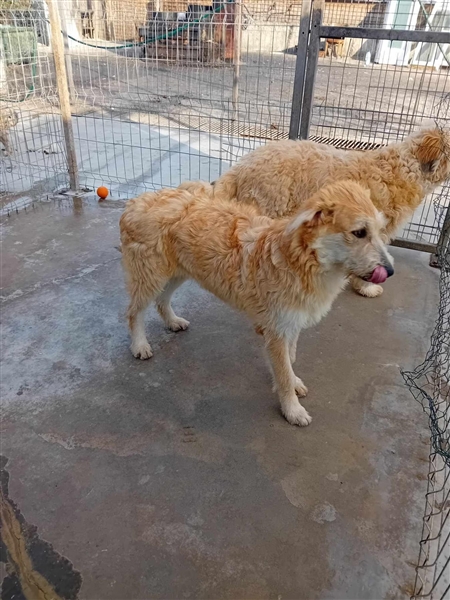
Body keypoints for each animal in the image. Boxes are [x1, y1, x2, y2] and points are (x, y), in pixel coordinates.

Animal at [120, 180, 394, 426]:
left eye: (379, 230)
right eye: (359, 232)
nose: (390, 271)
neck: (300, 259)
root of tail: (139, 200)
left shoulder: (290, 324)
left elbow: (289, 360)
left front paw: (293, 381)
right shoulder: (276, 329)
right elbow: (283, 372)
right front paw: (292, 409)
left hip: (176, 273)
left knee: (162, 300)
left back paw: (172, 321)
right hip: (150, 276)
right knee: (134, 312)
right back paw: (140, 344)